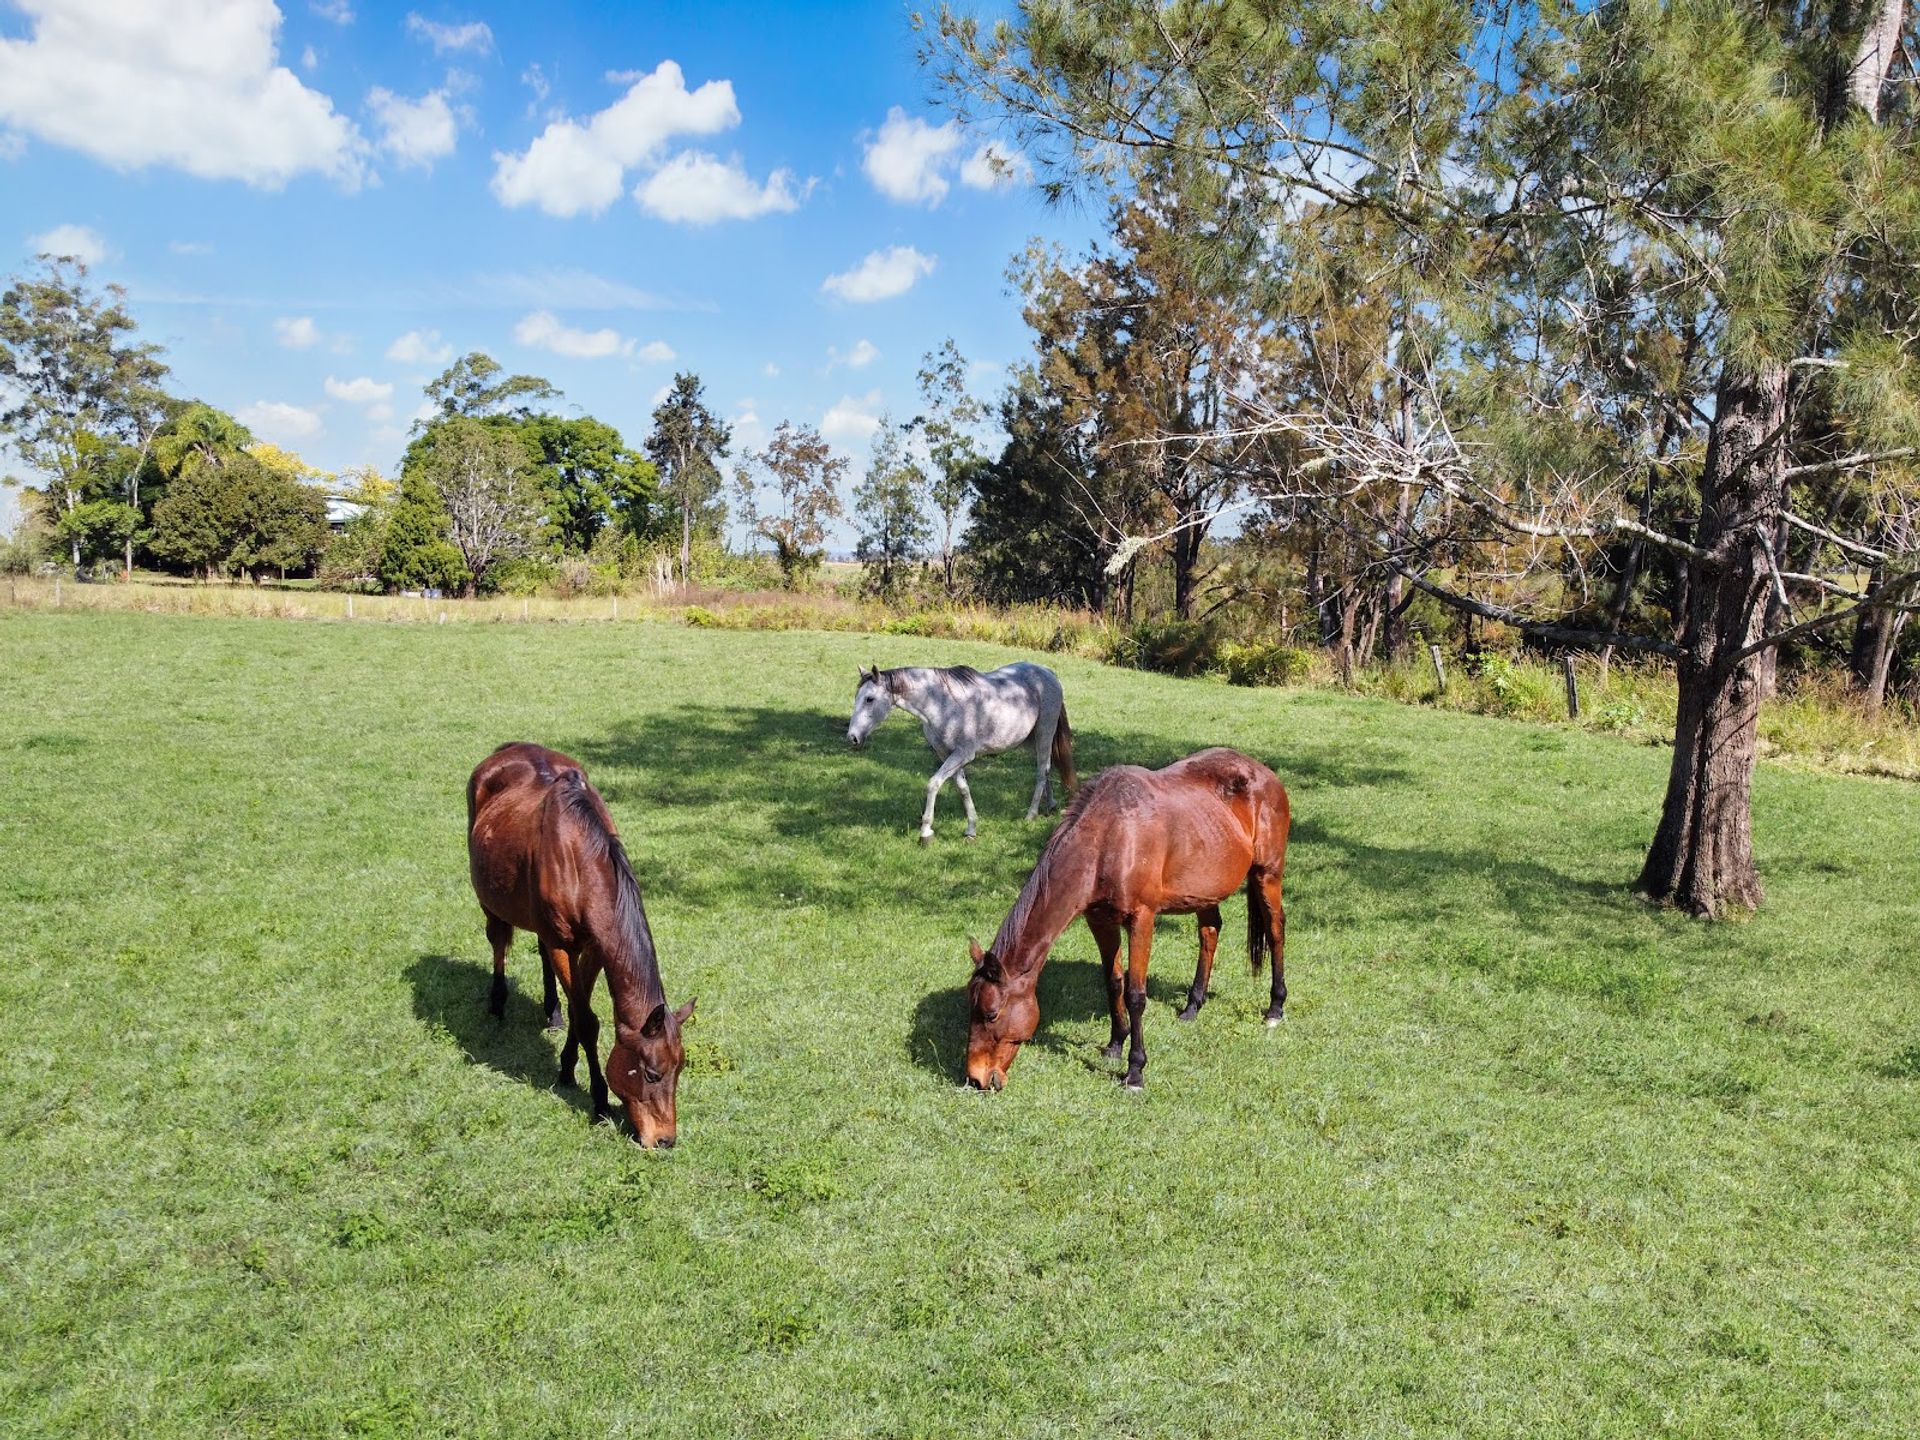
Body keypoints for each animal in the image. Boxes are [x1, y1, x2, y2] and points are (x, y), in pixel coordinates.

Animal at [466, 742, 695, 1147]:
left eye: (680, 1069)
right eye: (652, 1073)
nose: (665, 1140)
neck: (577, 858)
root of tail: (505, 750)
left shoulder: (593, 948)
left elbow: (579, 1010)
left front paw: (567, 1067)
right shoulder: (565, 945)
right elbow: (587, 1020)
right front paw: (599, 1100)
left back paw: (551, 1012)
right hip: (490, 901)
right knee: (497, 941)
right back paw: (497, 1004)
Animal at [846, 660, 1075, 843]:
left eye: (869, 699)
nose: (852, 737)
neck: (942, 705)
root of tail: (1047, 673)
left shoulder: (962, 754)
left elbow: (933, 784)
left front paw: (926, 832)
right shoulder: (946, 755)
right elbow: (963, 789)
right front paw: (971, 829)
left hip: (1045, 733)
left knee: (1041, 771)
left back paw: (1031, 815)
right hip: (1030, 740)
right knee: (1046, 768)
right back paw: (1050, 805)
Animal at [963, 747, 1291, 1093]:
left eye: (991, 1014)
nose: (975, 1078)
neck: (1110, 838)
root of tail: (1264, 773)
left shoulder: (1141, 919)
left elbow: (1135, 995)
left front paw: (1135, 1071)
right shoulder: (1100, 921)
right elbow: (1114, 982)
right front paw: (1115, 1044)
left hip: (1267, 874)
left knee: (1275, 930)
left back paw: (1275, 1008)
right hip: (1205, 891)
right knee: (1210, 931)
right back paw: (1192, 1006)